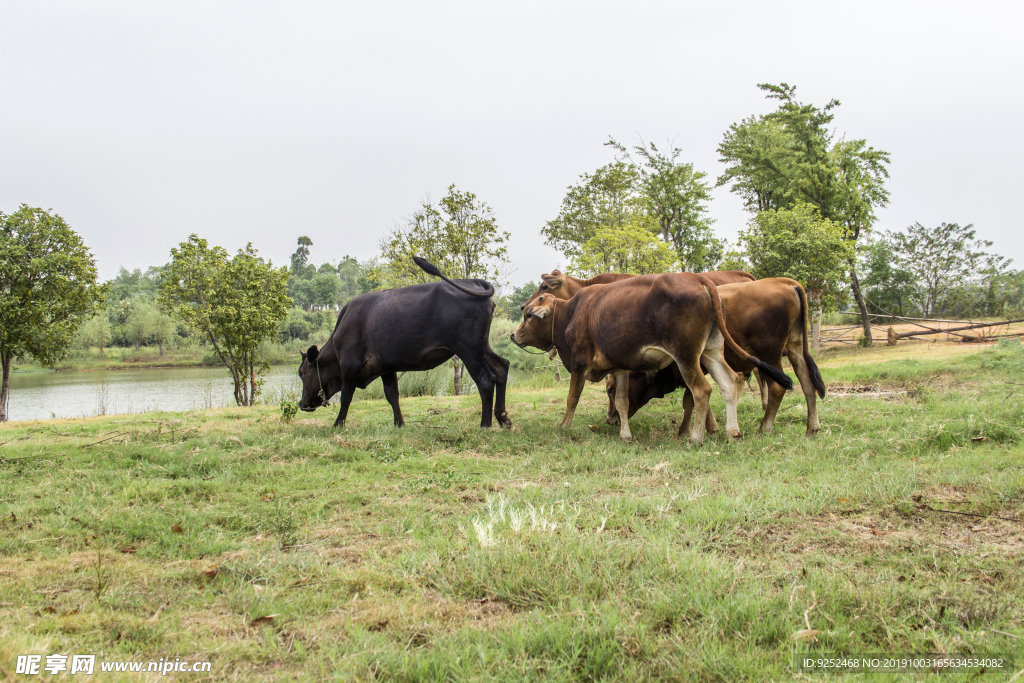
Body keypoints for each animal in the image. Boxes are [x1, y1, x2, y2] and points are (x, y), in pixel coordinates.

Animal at [299, 255, 509, 428]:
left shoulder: (349, 365)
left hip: (468, 349)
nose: (302, 404)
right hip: (482, 346)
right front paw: (399, 424)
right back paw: (503, 418)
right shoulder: (385, 366)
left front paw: (338, 424)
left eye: (301, 373)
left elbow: (346, 397)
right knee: (502, 367)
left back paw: (485, 424)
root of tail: (472, 281)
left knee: (485, 381)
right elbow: (392, 395)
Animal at [509, 272, 790, 444]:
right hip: (710, 353)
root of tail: (699, 279)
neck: (572, 313)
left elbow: (572, 399)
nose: (513, 335)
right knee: (729, 382)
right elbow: (622, 402)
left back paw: (696, 437)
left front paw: (564, 427)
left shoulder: (579, 364)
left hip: (687, 357)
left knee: (702, 391)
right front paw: (625, 434)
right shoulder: (620, 368)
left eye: (529, 316)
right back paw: (733, 431)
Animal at [606, 278, 823, 436]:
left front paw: (688, 430)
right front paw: (710, 428)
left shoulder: (688, 366)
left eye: (610, 390)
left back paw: (764, 428)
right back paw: (812, 427)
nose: (611, 419)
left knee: (778, 388)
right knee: (807, 383)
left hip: (770, 355)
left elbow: (691, 400)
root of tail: (785, 282)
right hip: (795, 348)